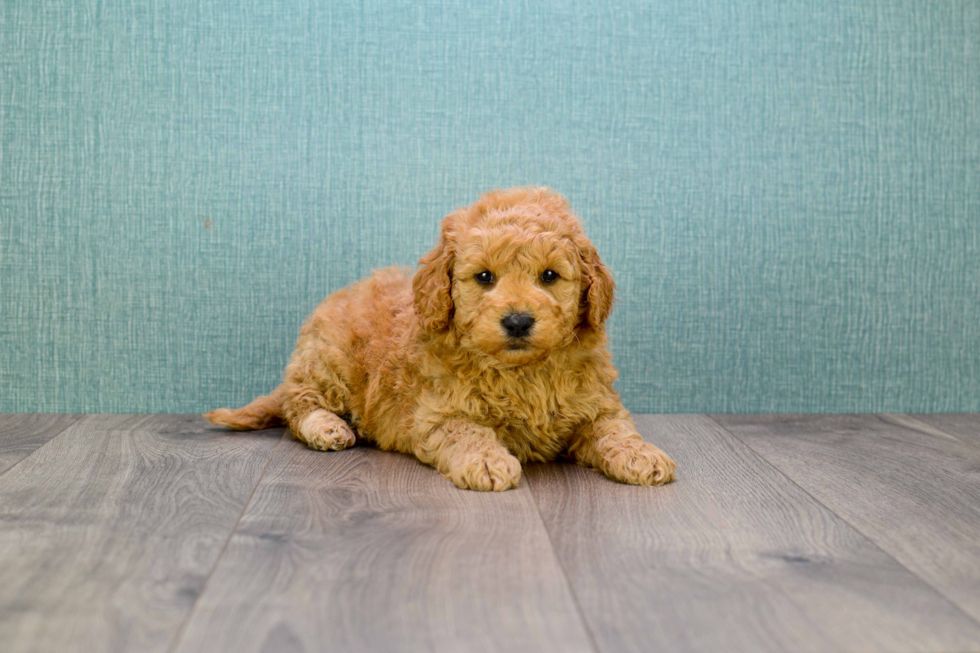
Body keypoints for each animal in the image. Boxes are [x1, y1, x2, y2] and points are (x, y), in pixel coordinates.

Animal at [205, 187, 672, 488]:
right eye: (484, 277)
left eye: (550, 276)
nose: (518, 321)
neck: (522, 372)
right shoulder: (437, 413)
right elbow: (467, 432)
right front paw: (487, 461)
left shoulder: (596, 404)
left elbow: (615, 430)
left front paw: (642, 455)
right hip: (328, 361)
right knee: (298, 404)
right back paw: (328, 427)